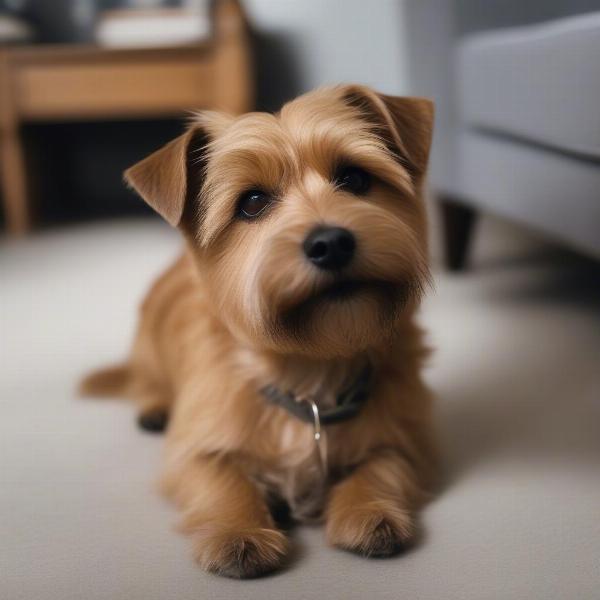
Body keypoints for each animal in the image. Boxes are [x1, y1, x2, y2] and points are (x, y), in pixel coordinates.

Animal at [79, 83, 436, 576]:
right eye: (251, 202)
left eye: (355, 179)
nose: (331, 242)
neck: (311, 369)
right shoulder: (194, 449)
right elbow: (220, 479)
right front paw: (239, 530)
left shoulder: (407, 435)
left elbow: (383, 464)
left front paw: (368, 509)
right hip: (149, 347)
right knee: (146, 379)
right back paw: (153, 405)